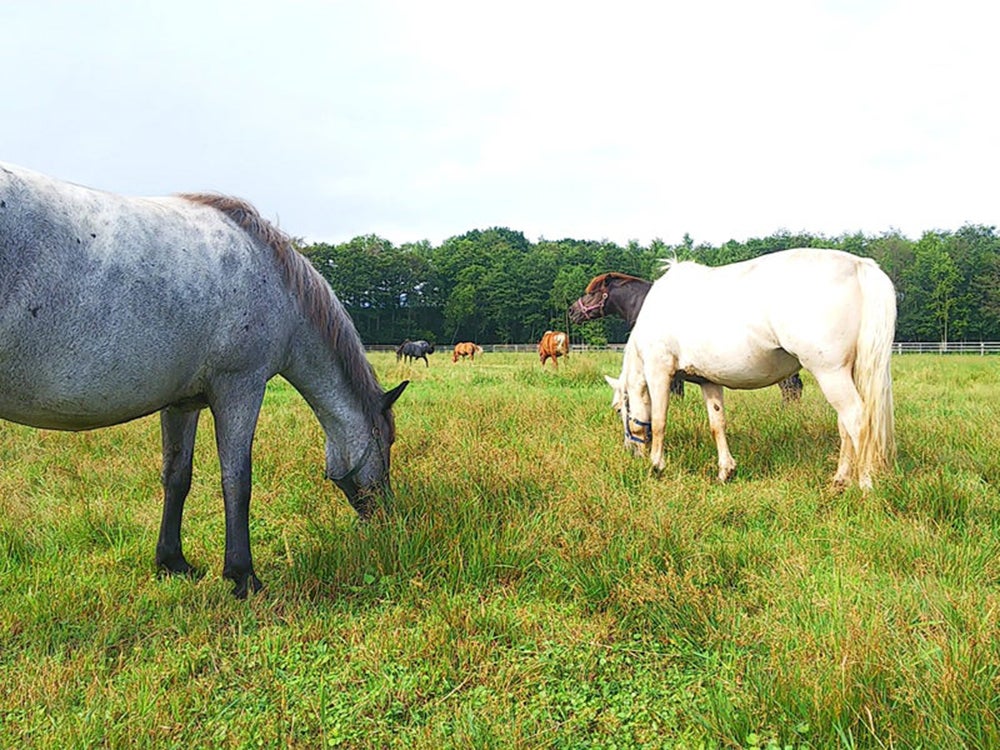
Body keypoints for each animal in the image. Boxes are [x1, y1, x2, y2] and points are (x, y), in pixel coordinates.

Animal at [0, 161, 408, 598]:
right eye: (388, 441)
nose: (387, 517)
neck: (277, 282)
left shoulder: (182, 403)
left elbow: (177, 477)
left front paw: (172, 562)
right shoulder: (241, 388)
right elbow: (237, 481)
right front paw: (243, 576)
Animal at [605, 248, 895, 490]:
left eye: (620, 409)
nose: (631, 451)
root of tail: (858, 265)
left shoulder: (658, 372)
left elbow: (659, 421)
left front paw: (657, 466)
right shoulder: (709, 381)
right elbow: (717, 424)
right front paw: (726, 470)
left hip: (830, 373)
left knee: (857, 419)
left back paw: (866, 484)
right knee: (845, 425)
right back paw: (840, 479)